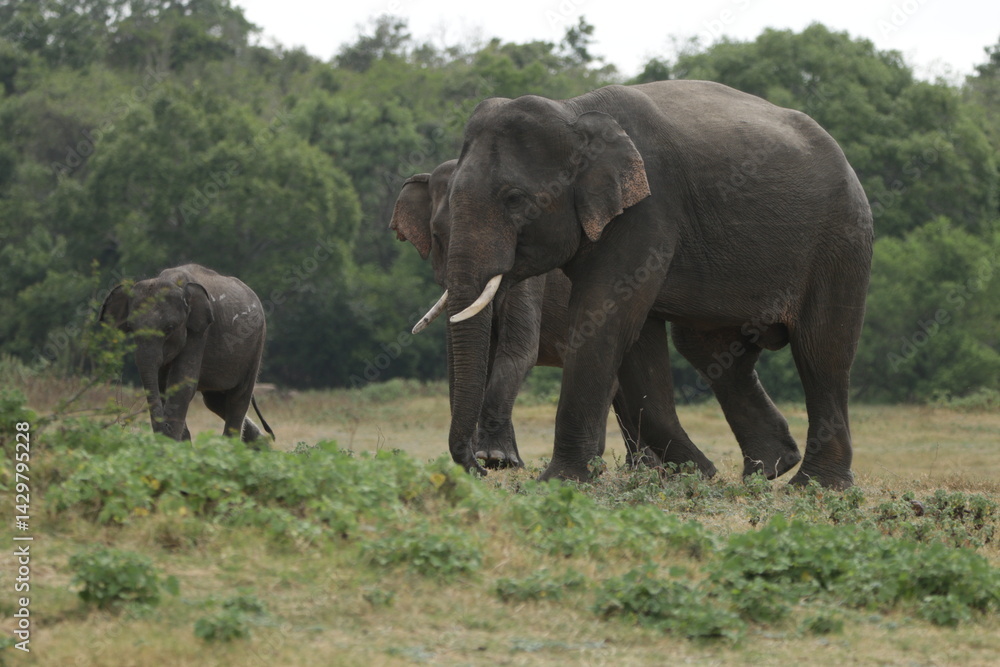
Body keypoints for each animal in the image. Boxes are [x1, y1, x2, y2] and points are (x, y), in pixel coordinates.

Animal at [100, 264, 274, 446]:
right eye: (131, 328)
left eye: (169, 328)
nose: (165, 428)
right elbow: (162, 386)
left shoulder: (199, 332)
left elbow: (182, 384)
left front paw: (171, 445)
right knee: (215, 402)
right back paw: (262, 444)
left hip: (256, 345)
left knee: (238, 398)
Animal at [391, 159, 797, 479]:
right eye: (437, 237)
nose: (475, 469)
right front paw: (498, 461)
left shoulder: (532, 277)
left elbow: (518, 352)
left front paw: (496, 460)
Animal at [435, 80, 873, 489]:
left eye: (514, 198)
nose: (481, 470)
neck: (572, 111)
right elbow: (636, 339)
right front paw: (696, 474)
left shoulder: (648, 210)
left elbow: (604, 318)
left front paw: (561, 481)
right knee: (712, 353)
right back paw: (769, 469)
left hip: (840, 239)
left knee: (822, 352)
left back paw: (815, 484)